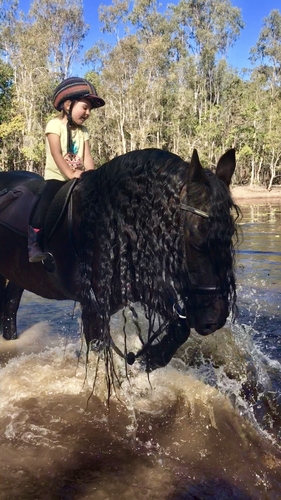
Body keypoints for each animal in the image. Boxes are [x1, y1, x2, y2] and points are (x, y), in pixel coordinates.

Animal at [0, 147, 238, 372]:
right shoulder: (93, 308)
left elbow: (180, 327)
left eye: (229, 235)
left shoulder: (139, 288)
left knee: (9, 308)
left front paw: (151, 357)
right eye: (196, 237)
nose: (215, 319)